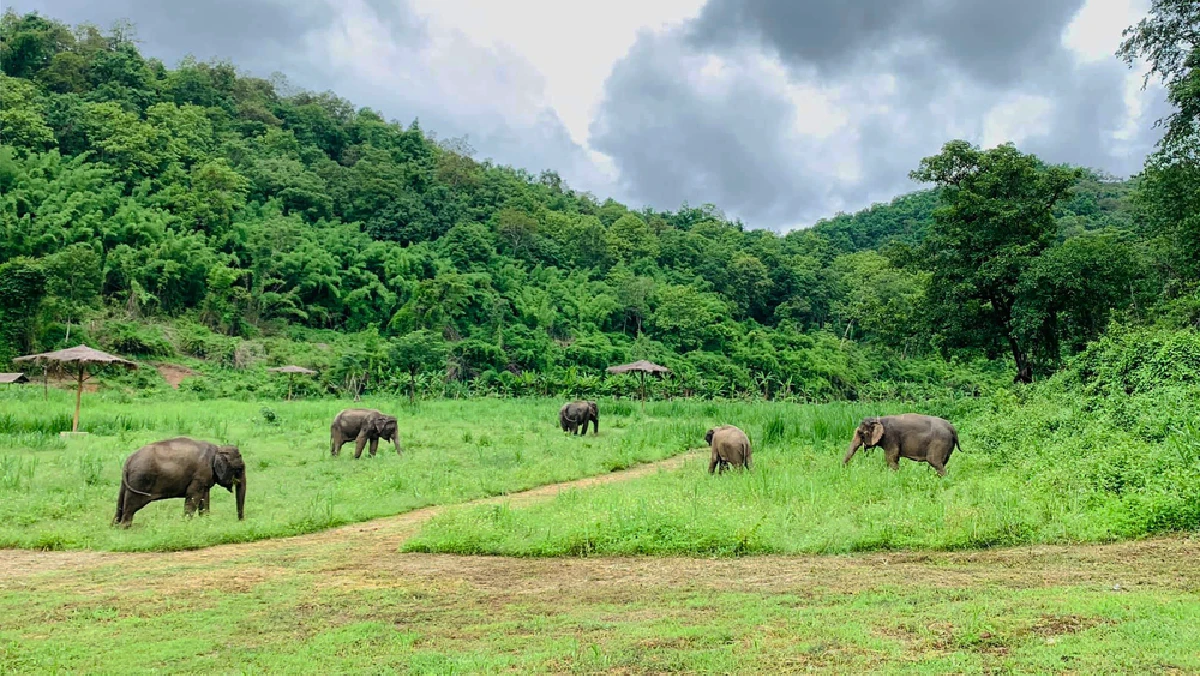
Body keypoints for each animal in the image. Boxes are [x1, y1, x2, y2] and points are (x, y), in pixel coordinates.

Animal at [115, 439, 249, 528]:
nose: (241, 522)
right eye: (239, 469)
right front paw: (186, 523)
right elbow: (194, 496)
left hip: (126, 483)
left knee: (121, 502)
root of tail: (128, 460)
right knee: (132, 505)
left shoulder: (204, 478)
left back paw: (115, 525)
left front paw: (205, 521)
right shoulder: (199, 475)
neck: (218, 448)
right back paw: (125, 527)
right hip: (140, 480)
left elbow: (204, 498)